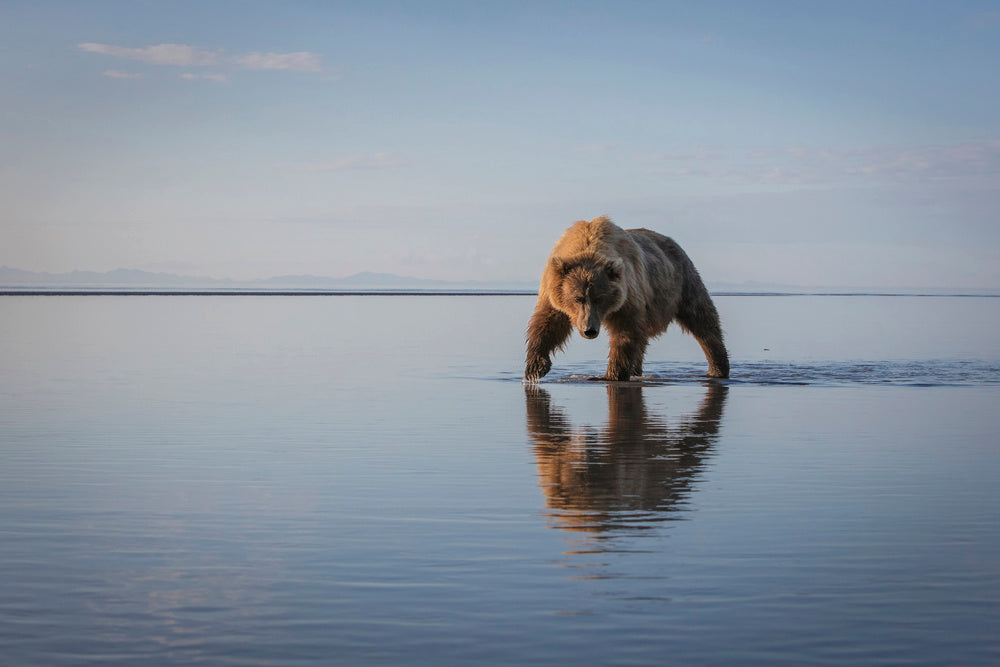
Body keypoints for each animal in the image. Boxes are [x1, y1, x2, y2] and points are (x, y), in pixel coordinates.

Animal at [524, 216, 729, 382]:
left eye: (599, 298)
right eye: (578, 298)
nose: (589, 330)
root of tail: (673, 243)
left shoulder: (627, 294)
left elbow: (625, 331)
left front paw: (612, 374)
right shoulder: (552, 290)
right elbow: (547, 324)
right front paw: (534, 369)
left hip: (684, 281)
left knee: (703, 320)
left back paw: (718, 368)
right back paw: (636, 371)